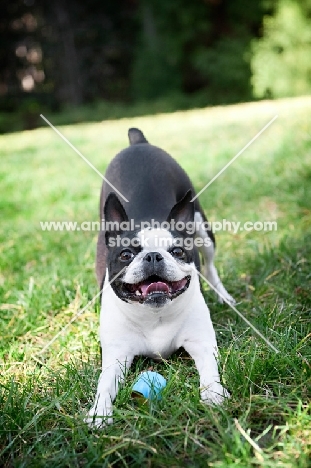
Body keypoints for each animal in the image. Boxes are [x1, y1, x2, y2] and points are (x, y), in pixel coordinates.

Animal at [85, 128, 234, 428]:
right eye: (126, 254)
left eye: (177, 251)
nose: (153, 256)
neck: (154, 315)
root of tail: (138, 142)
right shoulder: (117, 356)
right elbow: (104, 383)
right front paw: (99, 412)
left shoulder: (201, 343)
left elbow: (210, 371)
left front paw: (213, 395)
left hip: (201, 226)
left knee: (210, 264)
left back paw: (223, 296)